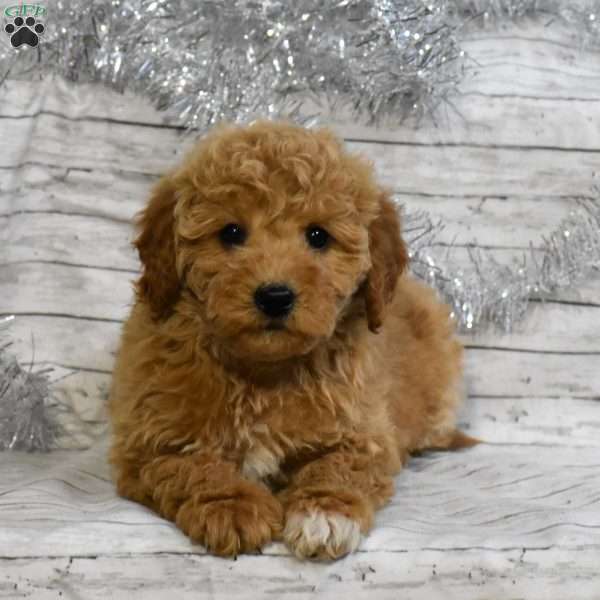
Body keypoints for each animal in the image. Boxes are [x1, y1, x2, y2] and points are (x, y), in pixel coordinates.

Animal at [106, 119, 474, 560]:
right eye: (231, 232)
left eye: (318, 236)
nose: (275, 296)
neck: (264, 375)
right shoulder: (148, 443)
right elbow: (193, 467)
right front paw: (232, 507)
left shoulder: (365, 436)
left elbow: (338, 469)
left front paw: (324, 516)